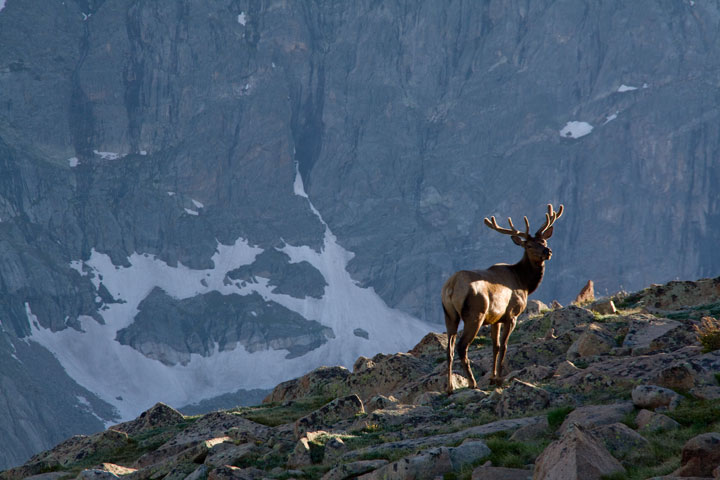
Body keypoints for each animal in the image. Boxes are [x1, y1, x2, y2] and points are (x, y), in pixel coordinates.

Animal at [442, 204, 564, 394]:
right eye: (528, 245)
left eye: (544, 241)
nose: (547, 251)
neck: (524, 283)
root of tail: (452, 286)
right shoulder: (511, 314)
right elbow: (505, 346)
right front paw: (499, 379)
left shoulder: (495, 319)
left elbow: (496, 346)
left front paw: (492, 378)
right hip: (475, 314)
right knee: (462, 346)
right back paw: (472, 382)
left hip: (449, 315)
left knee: (449, 349)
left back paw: (449, 388)